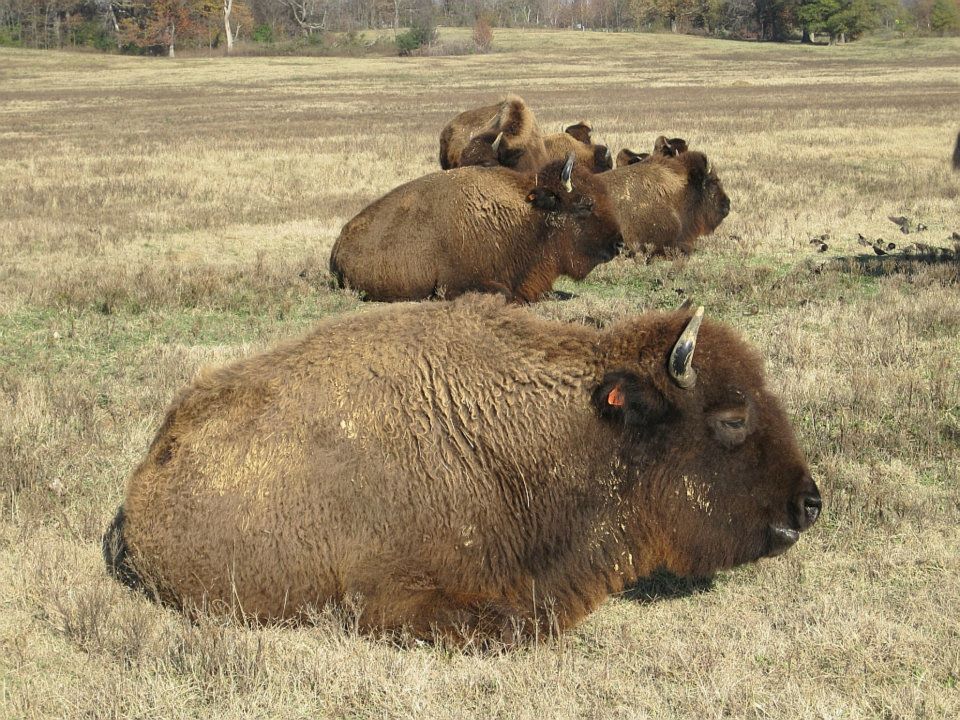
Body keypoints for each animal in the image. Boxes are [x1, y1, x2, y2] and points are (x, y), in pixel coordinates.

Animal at [330, 155, 628, 304]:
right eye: (585, 204)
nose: (618, 243)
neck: (528, 217)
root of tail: (338, 246)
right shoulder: (455, 283)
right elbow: (505, 294)